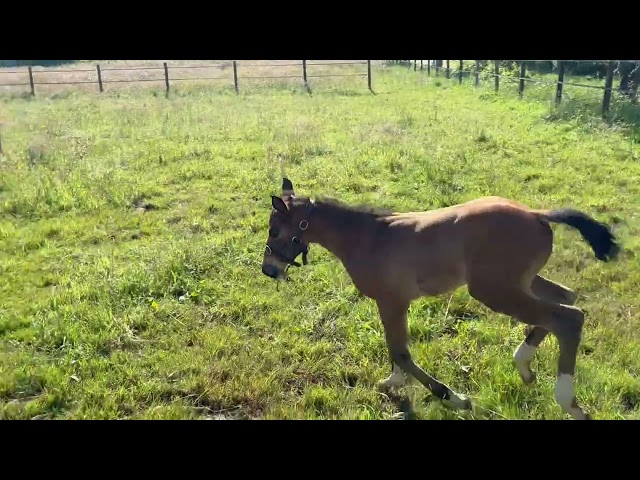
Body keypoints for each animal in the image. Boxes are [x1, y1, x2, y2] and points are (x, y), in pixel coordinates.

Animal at [261, 178, 620, 419]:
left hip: (494, 290)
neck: (367, 238)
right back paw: (524, 365)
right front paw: (392, 381)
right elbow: (397, 349)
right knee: (566, 299)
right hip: (520, 282)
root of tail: (536, 214)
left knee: (567, 316)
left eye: (275, 231)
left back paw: (568, 402)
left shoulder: (391, 301)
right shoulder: (395, 303)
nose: (268, 269)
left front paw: (454, 398)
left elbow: (401, 352)